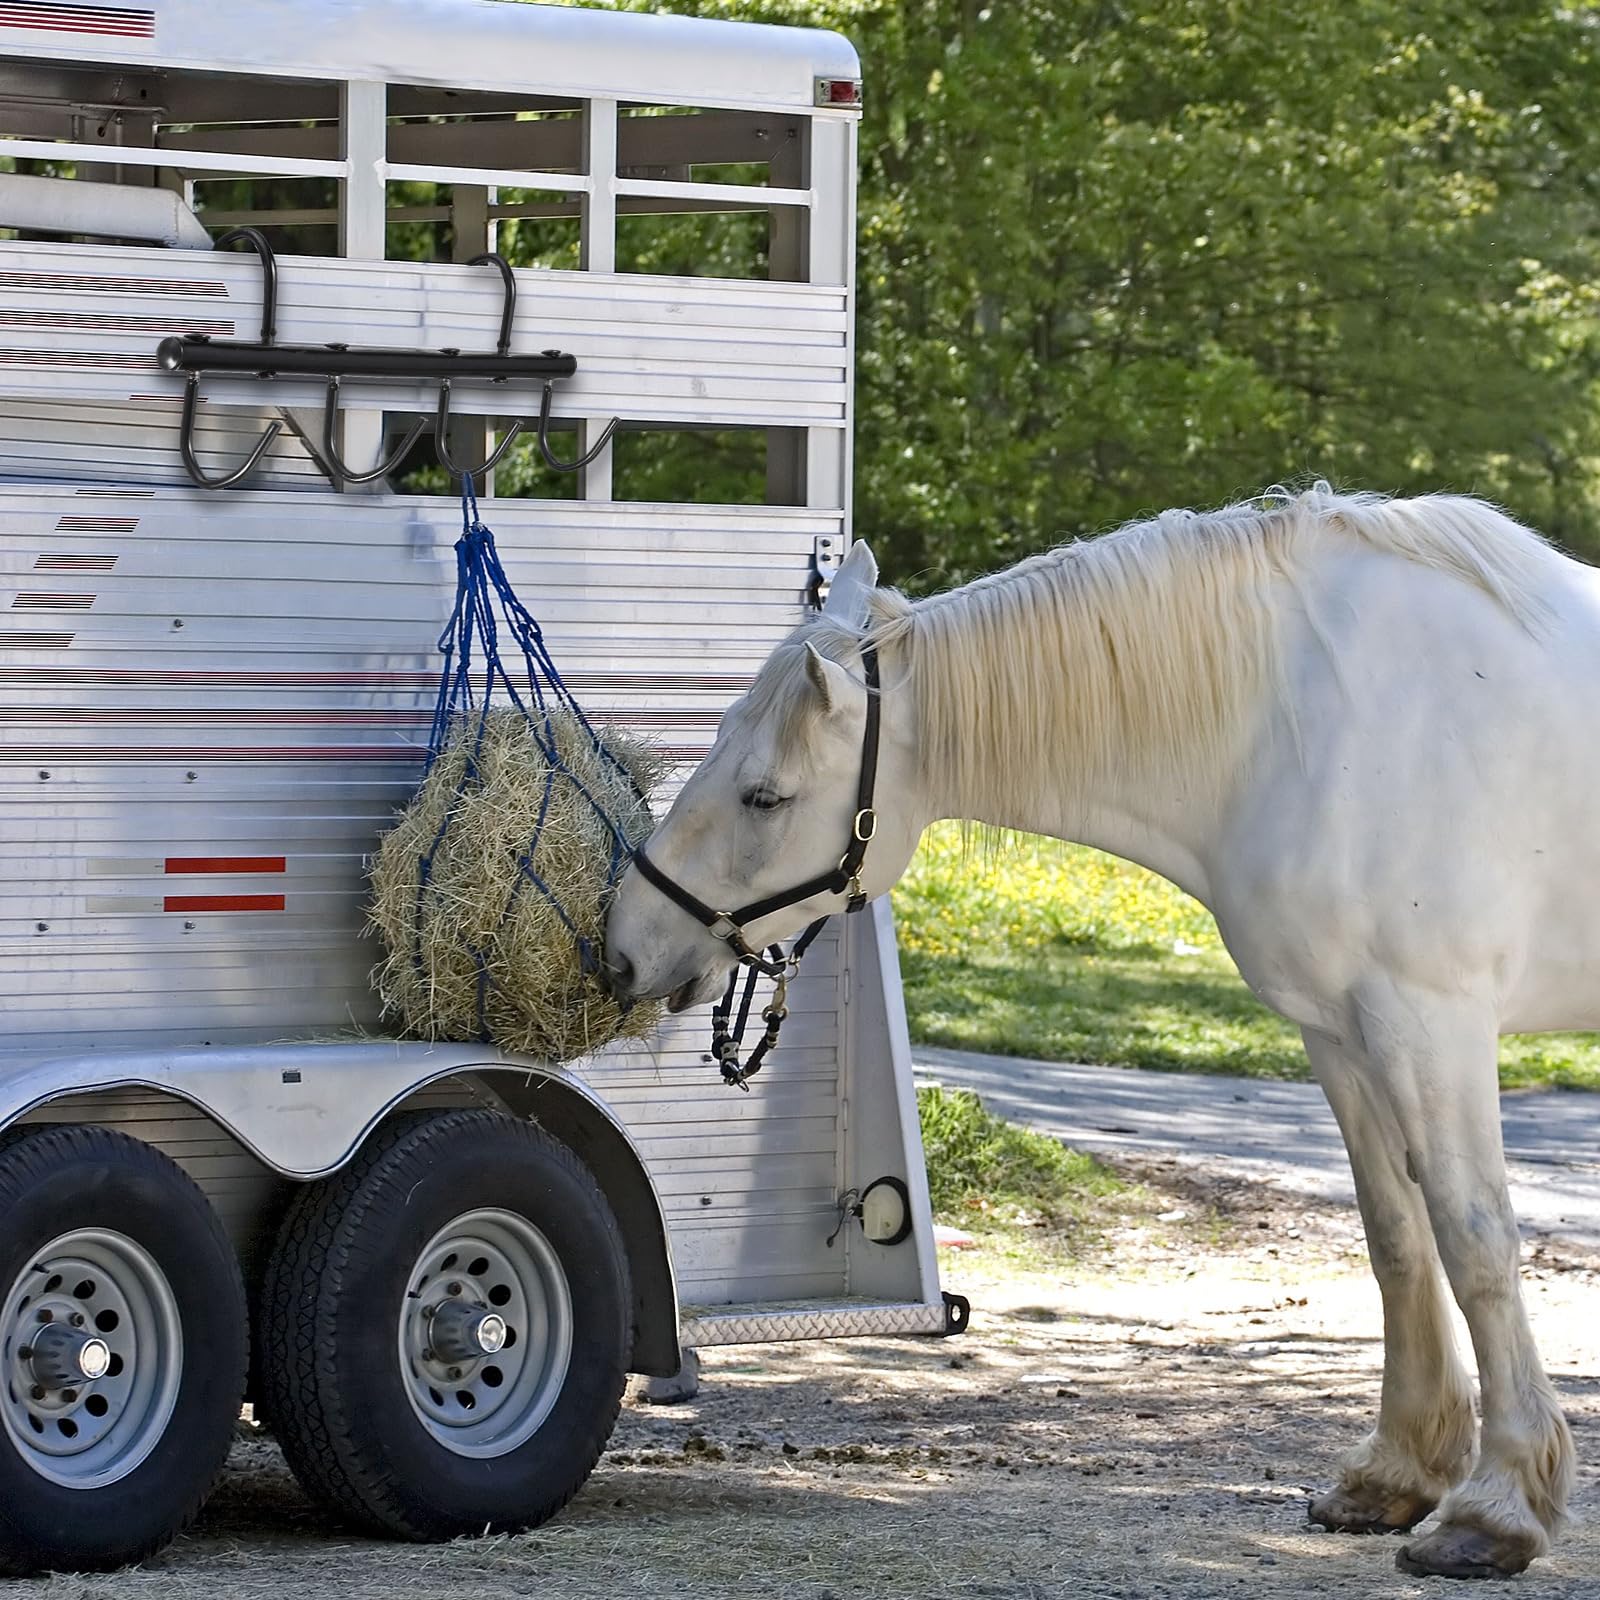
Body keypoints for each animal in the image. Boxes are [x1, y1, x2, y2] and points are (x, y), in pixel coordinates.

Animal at [603, 484, 1595, 1580]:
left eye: (764, 796)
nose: (623, 949)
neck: (1311, 718)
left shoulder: (1431, 1020)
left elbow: (1474, 1241)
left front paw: (1494, 1511)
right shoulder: (1340, 1032)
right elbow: (1397, 1239)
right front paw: (1394, 1476)